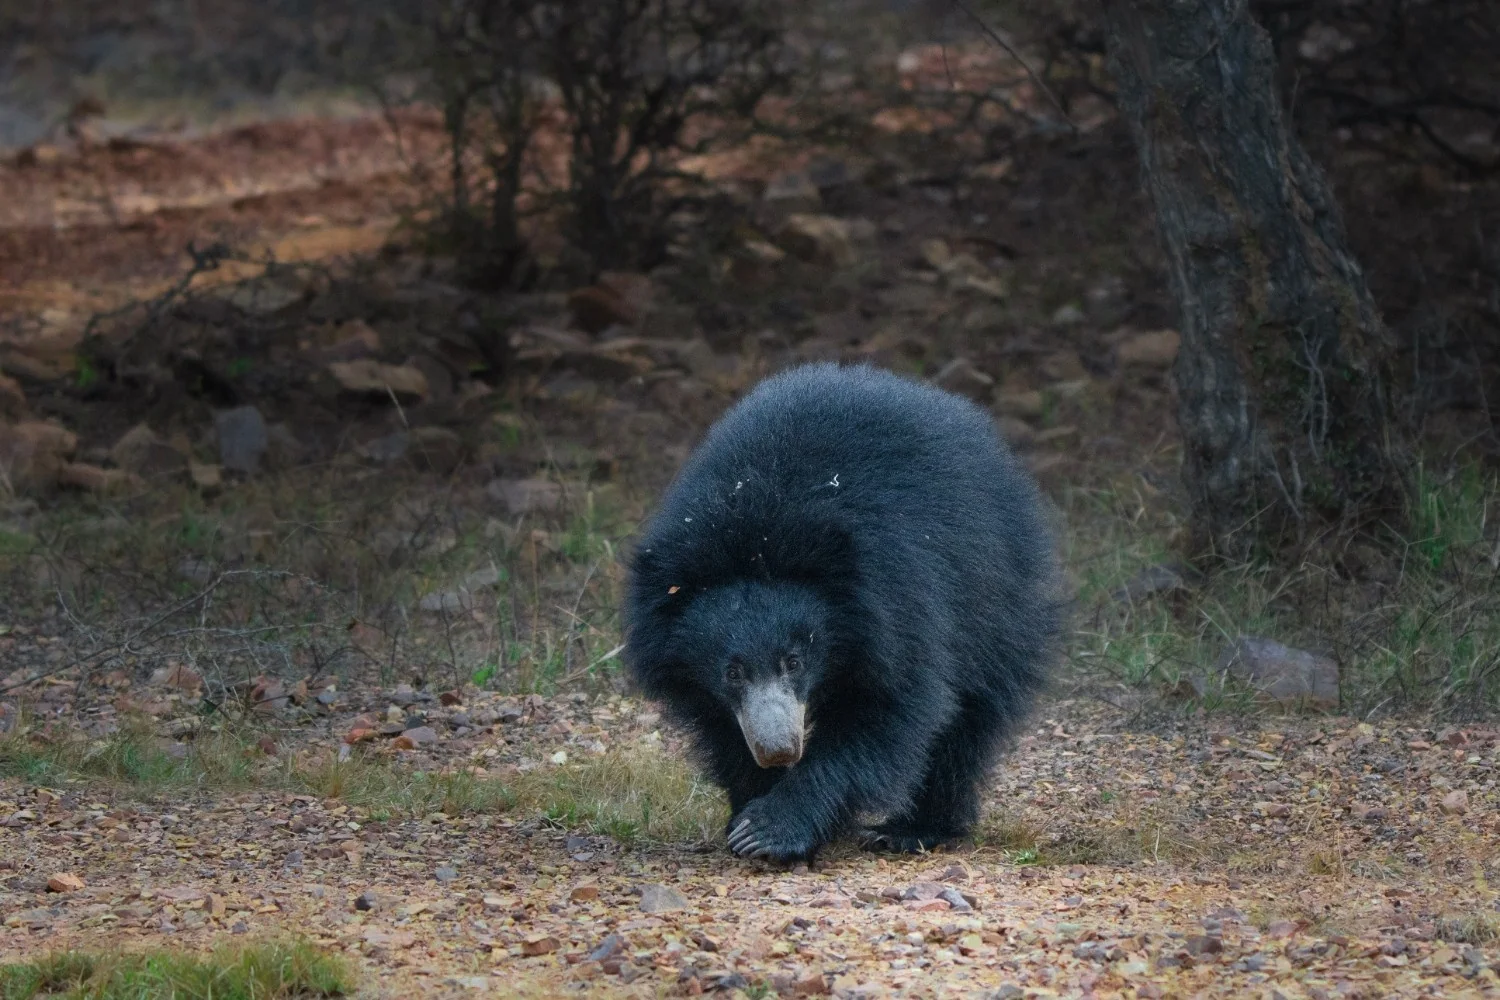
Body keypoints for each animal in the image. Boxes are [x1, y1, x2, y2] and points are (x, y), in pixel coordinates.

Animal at [623, 362, 1059, 863]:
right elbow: (724, 730)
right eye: (732, 672)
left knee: (970, 715)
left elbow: (888, 710)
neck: (756, 533)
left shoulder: (897, 605)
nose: (778, 749)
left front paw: (769, 829)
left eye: (794, 661)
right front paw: (748, 811)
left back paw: (914, 828)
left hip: (994, 599)